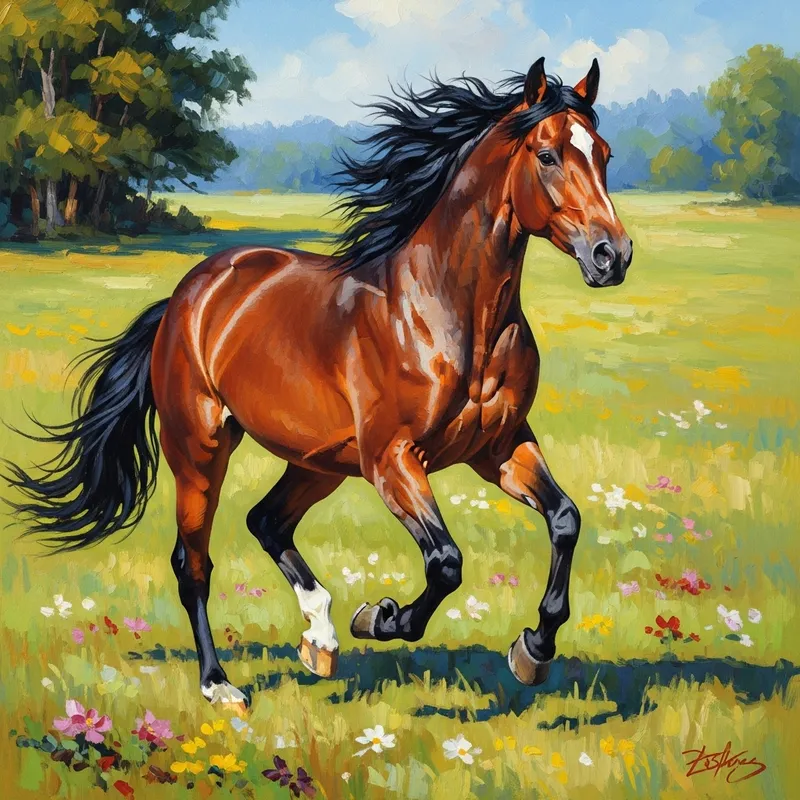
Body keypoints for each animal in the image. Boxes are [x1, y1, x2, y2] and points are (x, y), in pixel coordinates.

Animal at [8, 56, 633, 705]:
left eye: (604, 153)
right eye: (548, 155)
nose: (612, 255)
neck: (447, 312)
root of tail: (187, 298)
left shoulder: (500, 447)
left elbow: (565, 521)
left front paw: (532, 650)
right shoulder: (392, 460)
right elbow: (446, 562)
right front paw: (382, 618)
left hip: (320, 461)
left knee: (265, 521)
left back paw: (320, 638)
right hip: (201, 449)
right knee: (193, 563)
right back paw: (221, 685)